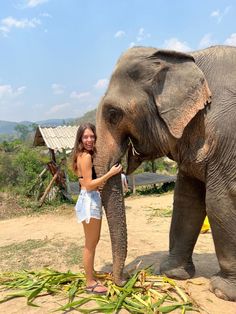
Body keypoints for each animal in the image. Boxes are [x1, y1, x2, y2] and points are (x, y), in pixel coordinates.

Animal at [94, 44, 236, 302]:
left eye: (113, 114)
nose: (124, 279)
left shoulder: (227, 136)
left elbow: (220, 202)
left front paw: (222, 291)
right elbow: (186, 200)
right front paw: (173, 274)